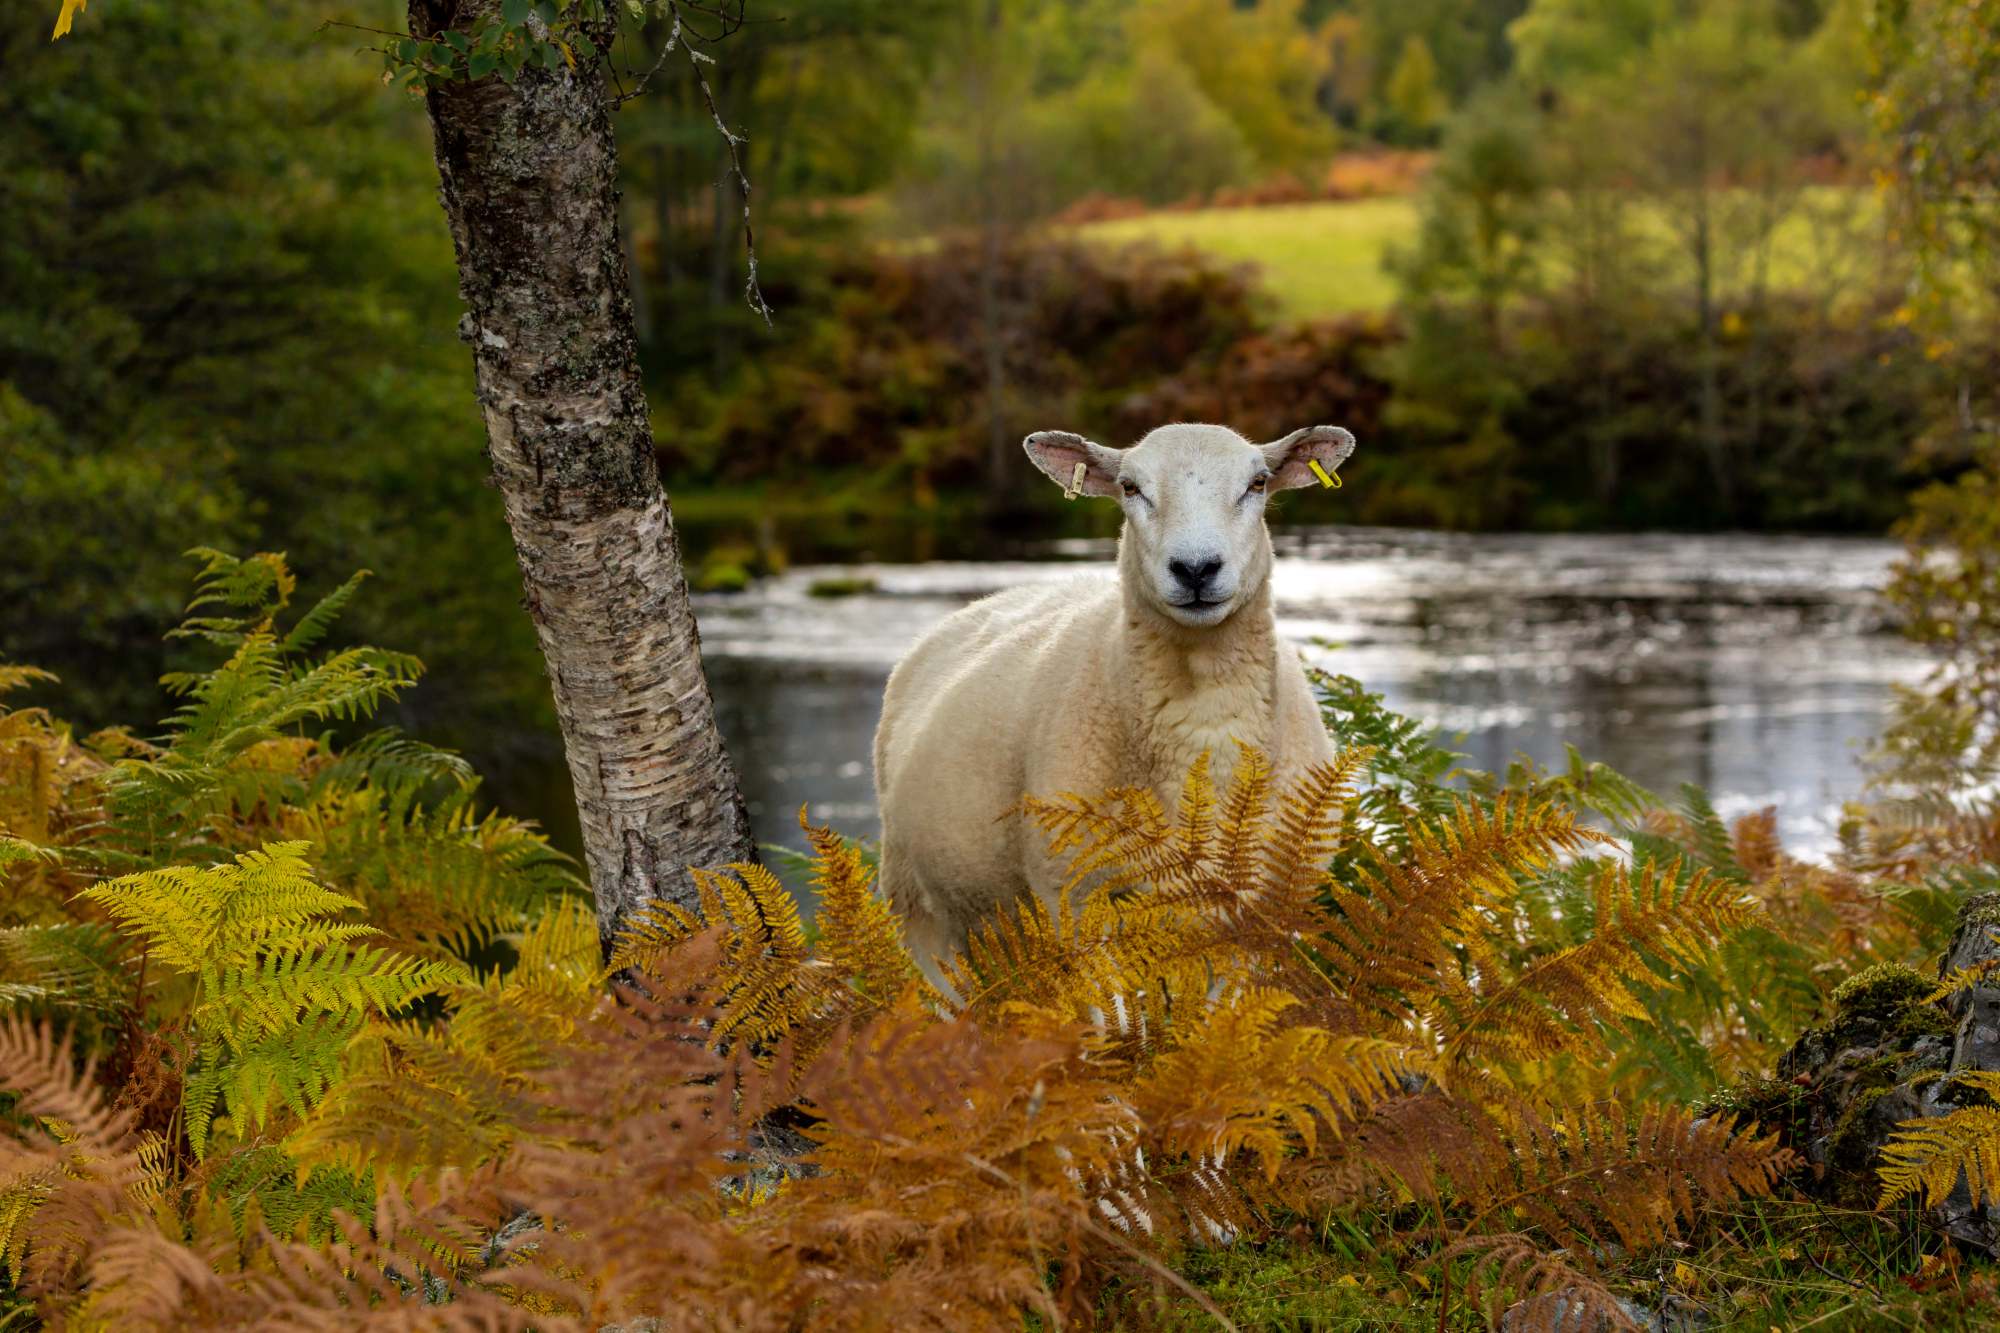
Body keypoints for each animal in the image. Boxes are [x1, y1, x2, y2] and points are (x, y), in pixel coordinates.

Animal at [868, 418, 1352, 984]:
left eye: (1258, 483)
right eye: (1129, 487)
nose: (1195, 569)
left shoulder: (1256, 922)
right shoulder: (1074, 901)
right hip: (919, 914)